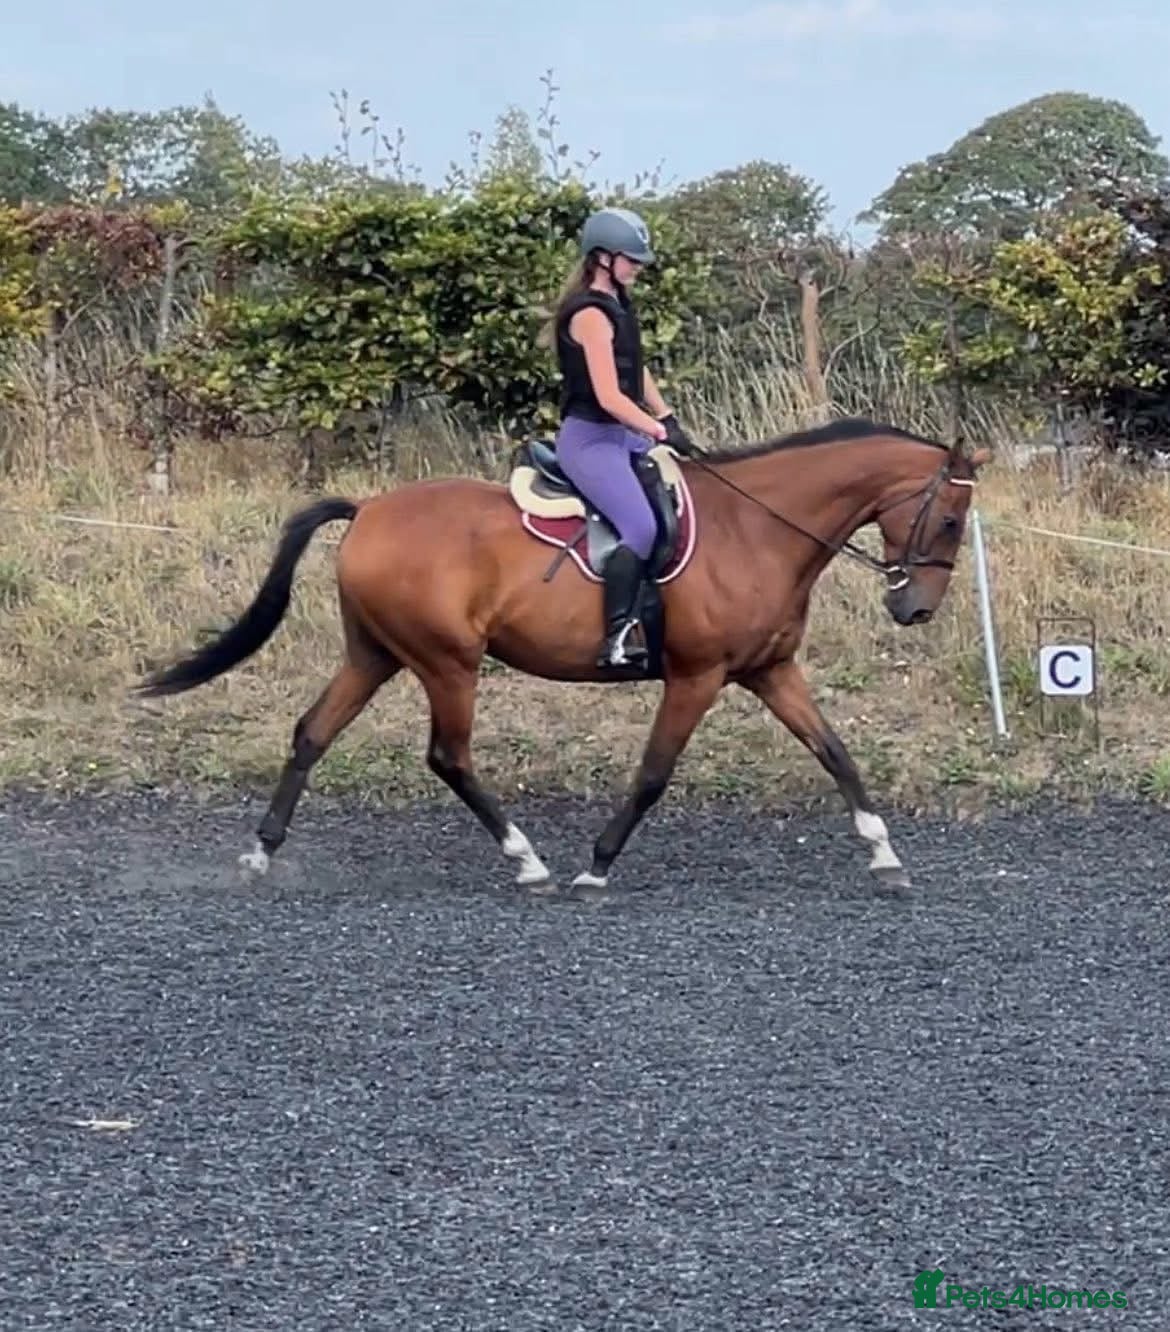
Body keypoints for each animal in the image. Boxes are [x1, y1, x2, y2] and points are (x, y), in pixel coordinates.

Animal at [134, 416, 990, 894]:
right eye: (950, 519)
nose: (914, 608)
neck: (760, 527)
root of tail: (370, 508)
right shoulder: (698, 676)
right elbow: (653, 775)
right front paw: (597, 864)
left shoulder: (768, 671)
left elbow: (836, 752)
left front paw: (884, 855)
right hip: (448, 662)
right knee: (448, 756)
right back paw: (529, 863)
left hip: (375, 653)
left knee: (313, 731)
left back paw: (260, 855)